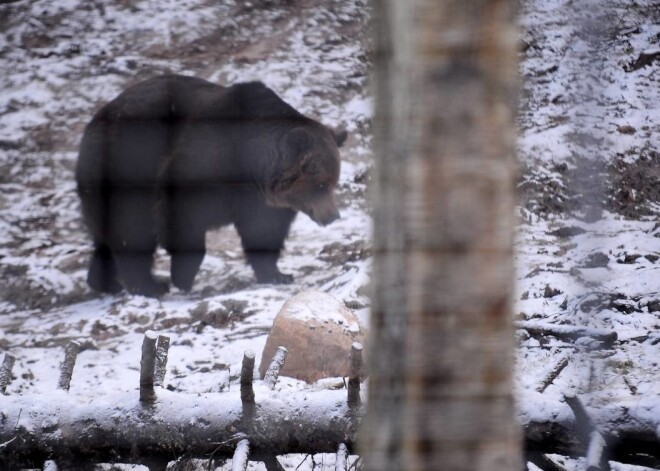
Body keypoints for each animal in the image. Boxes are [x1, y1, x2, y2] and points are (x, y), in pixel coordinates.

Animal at [76, 75, 346, 296]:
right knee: (132, 231)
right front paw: (182, 276)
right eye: (320, 184)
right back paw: (149, 285)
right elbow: (182, 219)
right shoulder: (204, 161)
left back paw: (106, 283)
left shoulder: (261, 202)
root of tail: (92, 124)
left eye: (333, 182)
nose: (333, 215)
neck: (250, 165)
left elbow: (263, 234)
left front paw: (278, 275)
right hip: (124, 168)